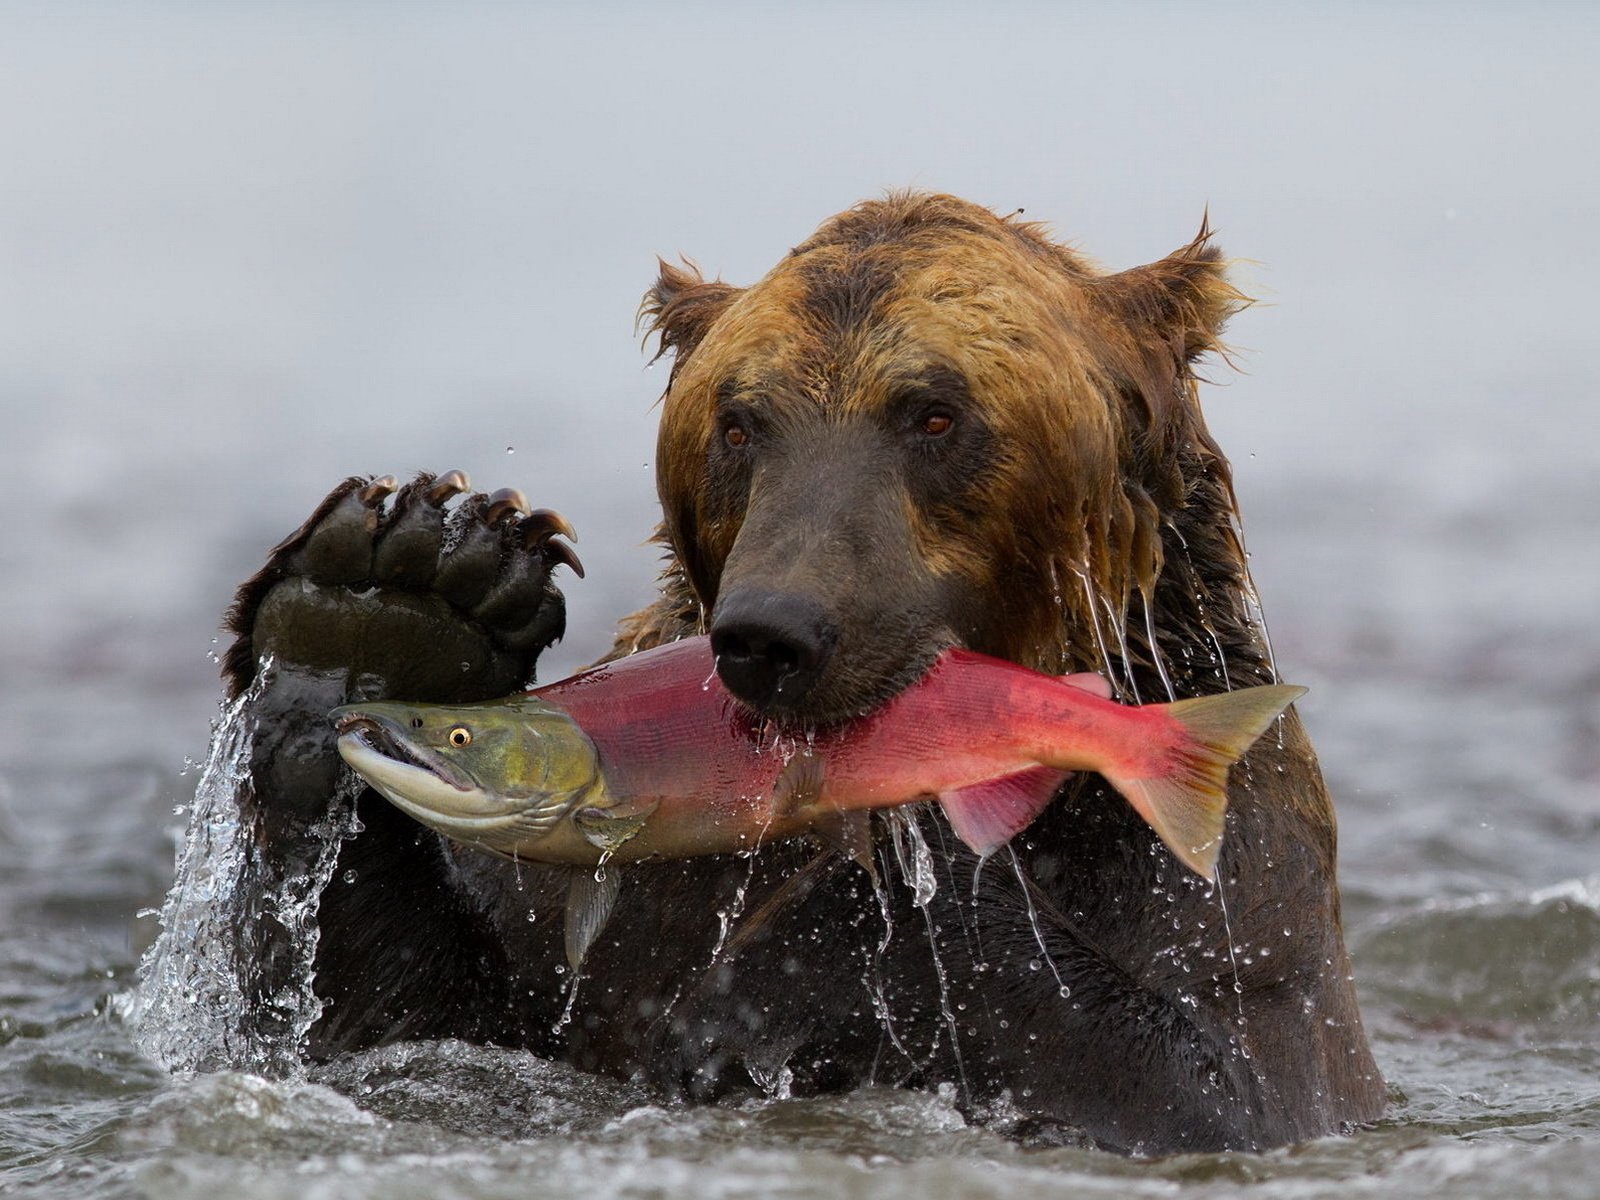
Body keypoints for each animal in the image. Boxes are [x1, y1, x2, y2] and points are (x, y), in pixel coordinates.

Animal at [225, 190, 1388, 1158]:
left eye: (934, 413)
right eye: (740, 423)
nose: (773, 632)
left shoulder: (1221, 888)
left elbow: (1217, 1082)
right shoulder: (591, 916)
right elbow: (389, 1027)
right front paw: (395, 599)